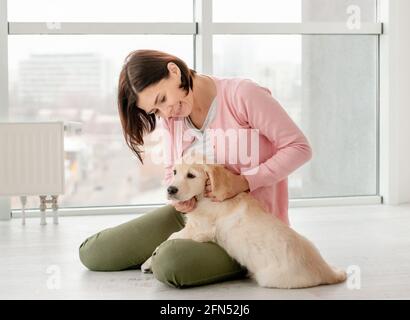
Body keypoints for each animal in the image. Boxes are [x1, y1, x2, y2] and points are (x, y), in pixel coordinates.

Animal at [141, 156, 346, 288]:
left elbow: (170, 237)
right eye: (175, 172)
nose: (170, 189)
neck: (205, 197)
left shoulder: (199, 230)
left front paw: (148, 262)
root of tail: (327, 272)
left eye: (191, 175)